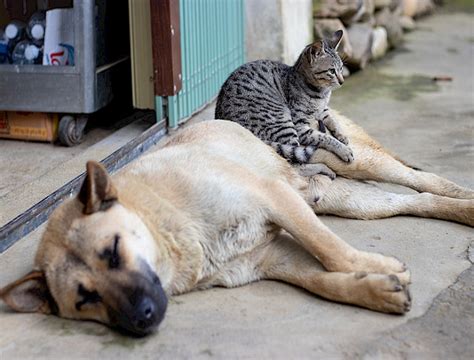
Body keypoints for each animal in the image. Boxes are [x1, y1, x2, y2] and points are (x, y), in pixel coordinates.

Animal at [1, 114, 472, 336]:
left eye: (113, 252)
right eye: (85, 299)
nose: (142, 319)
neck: (167, 223)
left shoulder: (275, 198)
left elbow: (329, 249)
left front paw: (377, 268)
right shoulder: (272, 258)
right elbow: (323, 280)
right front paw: (374, 288)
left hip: (356, 163)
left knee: (423, 180)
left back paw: (464, 198)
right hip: (351, 202)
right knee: (416, 201)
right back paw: (461, 209)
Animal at [217, 29, 354, 167]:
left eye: (341, 68)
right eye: (331, 71)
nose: (342, 81)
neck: (322, 94)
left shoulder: (324, 110)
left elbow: (333, 121)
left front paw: (342, 135)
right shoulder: (300, 126)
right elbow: (325, 138)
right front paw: (344, 149)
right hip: (282, 122)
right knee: (295, 158)